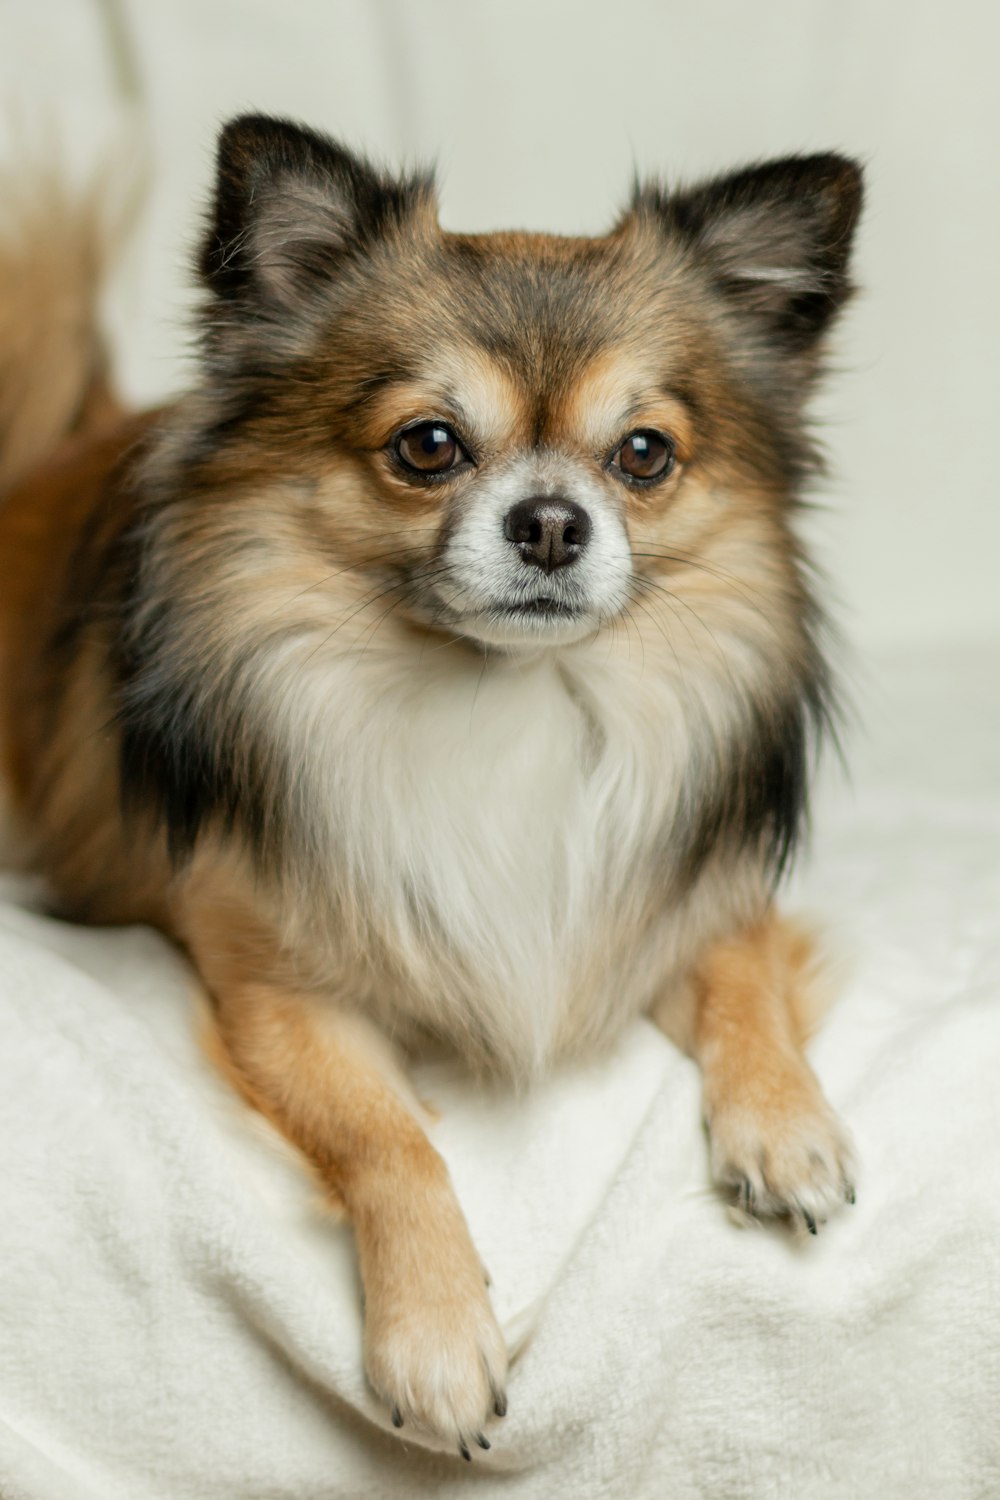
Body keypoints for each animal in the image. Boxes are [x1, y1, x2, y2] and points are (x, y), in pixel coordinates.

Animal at [0, 114, 863, 1452]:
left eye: (644, 455)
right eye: (428, 446)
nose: (553, 521)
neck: (502, 699)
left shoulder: (665, 901)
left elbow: (745, 984)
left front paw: (786, 1127)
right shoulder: (281, 994)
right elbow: (388, 1141)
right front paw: (438, 1337)